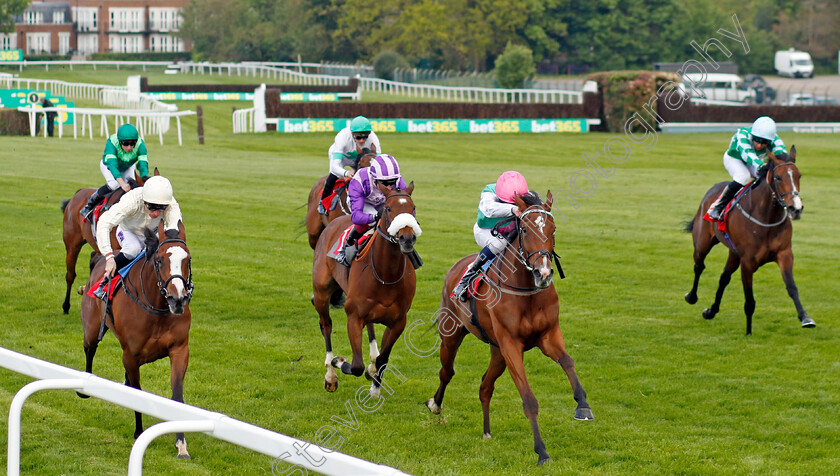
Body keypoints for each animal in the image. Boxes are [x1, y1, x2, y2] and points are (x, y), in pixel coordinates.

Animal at [79, 221, 194, 460]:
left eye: (187, 259)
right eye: (160, 260)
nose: (178, 300)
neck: (156, 307)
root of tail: (100, 258)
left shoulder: (180, 349)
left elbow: (177, 395)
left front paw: (181, 444)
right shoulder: (130, 356)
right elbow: (137, 392)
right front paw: (139, 432)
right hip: (92, 327)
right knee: (89, 349)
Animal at [312, 182, 420, 394]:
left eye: (413, 208)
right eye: (388, 209)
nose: (407, 239)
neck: (386, 275)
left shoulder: (398, 322)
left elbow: (383, 358)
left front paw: (375, 386)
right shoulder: (354, 317)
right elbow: (356, 366)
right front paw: (338, 361)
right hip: (321, 293)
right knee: (326, 325)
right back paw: (330, 374)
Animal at [426, 191, 592, 464]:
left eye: (553, 229)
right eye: (523, 229)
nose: (543, 273)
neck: (527, 291)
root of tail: (456, 266)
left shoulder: (548, 336)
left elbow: (568, 361)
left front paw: (583, 407)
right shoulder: (511, 345)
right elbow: (529, 400)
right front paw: (542, 451)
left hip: (497, 352)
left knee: (485, 386)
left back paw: (486, 431)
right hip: (452, 335)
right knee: (446, 372)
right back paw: (435, 404)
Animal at [684, 147, 812, 336]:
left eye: (799, 176)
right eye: (778, 177)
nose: (796, 209)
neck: (766, 217)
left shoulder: (784, 254)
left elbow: (792, 287)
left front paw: (805, 318)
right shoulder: (747, 262)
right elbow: (750, 300)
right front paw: (749, 332)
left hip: (733, 253)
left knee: (724, 278)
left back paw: (711, 311)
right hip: (702, 243)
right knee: (699, 266)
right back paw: (692, 297)